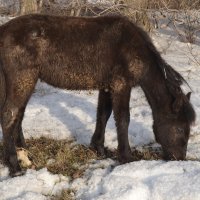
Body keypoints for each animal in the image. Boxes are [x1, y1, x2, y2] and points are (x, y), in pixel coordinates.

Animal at [0, 14, 195, 177]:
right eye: (180, 128)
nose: (179, 158)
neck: (134, 49)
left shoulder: (107, 87)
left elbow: (103, 115)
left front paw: (99, 148)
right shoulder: (121, 85)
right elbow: (123, 119)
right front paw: (126, 157)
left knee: (18, 115)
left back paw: (24, 154)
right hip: (23, 81)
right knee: (9, 116)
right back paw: (15, 167)